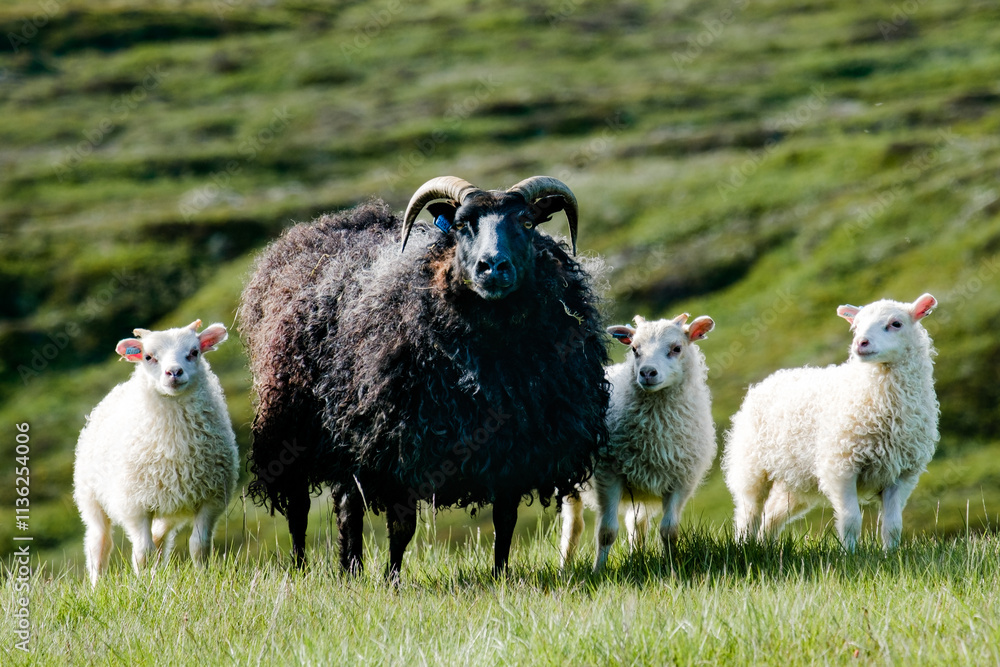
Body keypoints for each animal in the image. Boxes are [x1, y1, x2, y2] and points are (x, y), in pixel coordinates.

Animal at [73, 320, 238, 586]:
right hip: (90, 497)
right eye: (149, 357)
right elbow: (143, 553)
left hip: (171, 503)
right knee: (99, 543)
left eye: (194, 352)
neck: (175, 447)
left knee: (160, 539)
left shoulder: (210, 499)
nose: (174, 372)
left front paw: (203, 579)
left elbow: (199, 546)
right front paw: (143, 587)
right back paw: (97, 585)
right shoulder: (135, 505)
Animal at [238, 175, 610, 579]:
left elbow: (505, 521)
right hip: (292, 428)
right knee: (300, 508)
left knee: (346, 505)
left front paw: (500, 576)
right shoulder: (400, 446)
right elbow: (402, 527)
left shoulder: (515, 450)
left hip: (345, 437)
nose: (493, 267)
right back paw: (304, 566)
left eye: (527, 223)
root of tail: (319, 227)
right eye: (461, 225)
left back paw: (350, 569)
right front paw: (392, 581)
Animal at [560, 313, 717, 571]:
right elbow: (606, 532)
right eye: (634, 348)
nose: (647, 372)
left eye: (677, 348)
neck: (655, 431)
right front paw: (598, 572)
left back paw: (637, 559)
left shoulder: (681, 481)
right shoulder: (608, 475)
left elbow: (669, 531)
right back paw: (565, 569)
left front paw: (672, 569)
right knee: (573, 526)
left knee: (637, 526)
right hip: (571, 480)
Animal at [723, 293, 939, 550]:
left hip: (797, 482)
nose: (861, 343)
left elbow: (893, 525)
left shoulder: (902, 474)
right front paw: (850, 554)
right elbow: (851, 519)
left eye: (896, 324)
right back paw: (743, 545)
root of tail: (768, 380)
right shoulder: (841, 466)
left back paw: (764, 546)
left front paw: (890, 554)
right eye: (856, 327)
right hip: (752, 468)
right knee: (749, 513)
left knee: (772, 515)